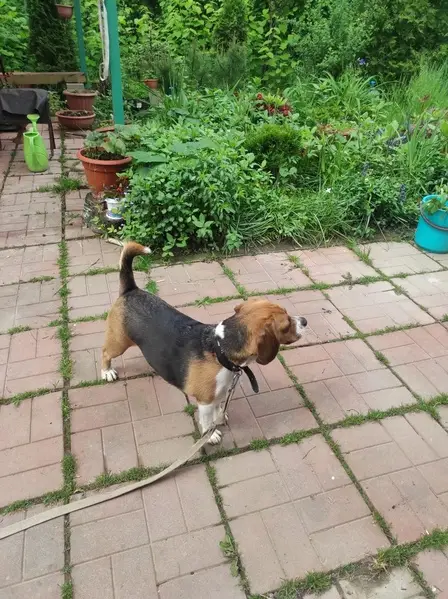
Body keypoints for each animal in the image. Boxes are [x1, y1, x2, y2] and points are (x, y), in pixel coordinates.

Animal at [101, 242, 307, 444]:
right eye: (286, 324)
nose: (304, 321)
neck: (220, 350)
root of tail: (131, 290)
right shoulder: (205, 401)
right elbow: (207, 420)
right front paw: (211, 434)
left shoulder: (220, 391)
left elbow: (218, 407)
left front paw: (219, 417)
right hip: (118, 342)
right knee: (104, 352)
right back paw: (107, 372)